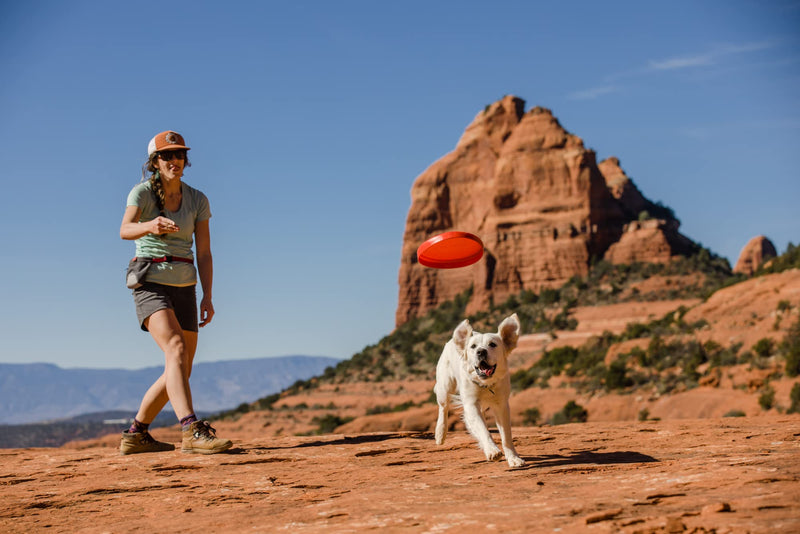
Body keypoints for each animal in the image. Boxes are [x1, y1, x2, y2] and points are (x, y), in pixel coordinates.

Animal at [432, 314, 524, 468]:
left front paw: (513, 458)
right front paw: (493, 451)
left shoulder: (501, 405)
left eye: (492, 344)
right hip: (445, 386)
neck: (485, 384)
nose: (481, 351)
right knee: (443, 408)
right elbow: (483, 430)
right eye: (473, 346)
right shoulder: (471, 404)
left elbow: (506, 435)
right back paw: (440, 433)